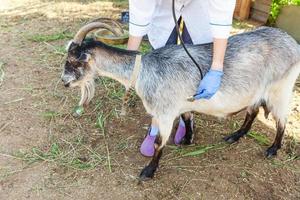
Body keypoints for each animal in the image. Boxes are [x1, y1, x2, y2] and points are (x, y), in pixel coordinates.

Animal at [61, 21, 300, 180]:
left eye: (72, 61)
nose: (64, 82)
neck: (142, 70)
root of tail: (292, 43)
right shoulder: (183, 104)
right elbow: (186, 119)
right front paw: (187, 140)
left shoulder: (165, 113)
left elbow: (159, 142)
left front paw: (148, 171)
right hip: (257, 92)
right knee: (253, 111)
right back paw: (235, 136)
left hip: (280, 89)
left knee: (282, 120)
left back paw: (272, 149)